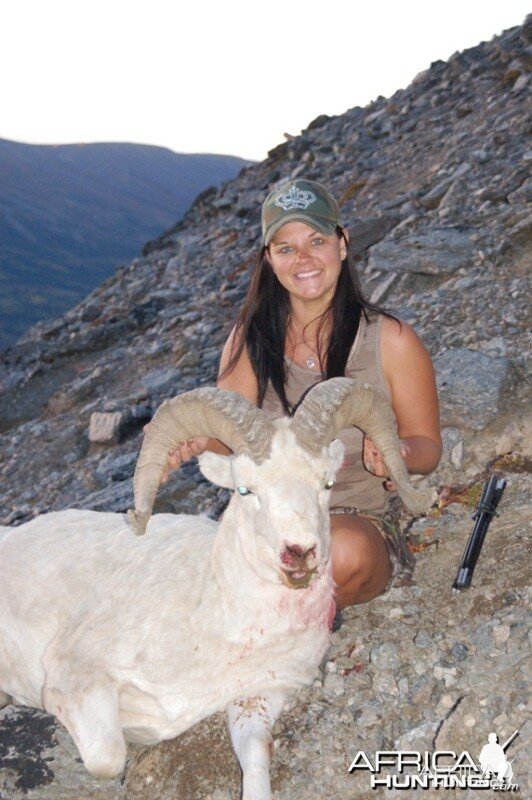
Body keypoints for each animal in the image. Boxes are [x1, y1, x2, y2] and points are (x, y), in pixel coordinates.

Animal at [0, 378, 432, 796]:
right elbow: (108, 757)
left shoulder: (261, 695)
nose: (299, 552)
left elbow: (255, 757)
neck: (214, 621)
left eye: (326, 483)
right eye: (244, 489)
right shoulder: (76, 676)